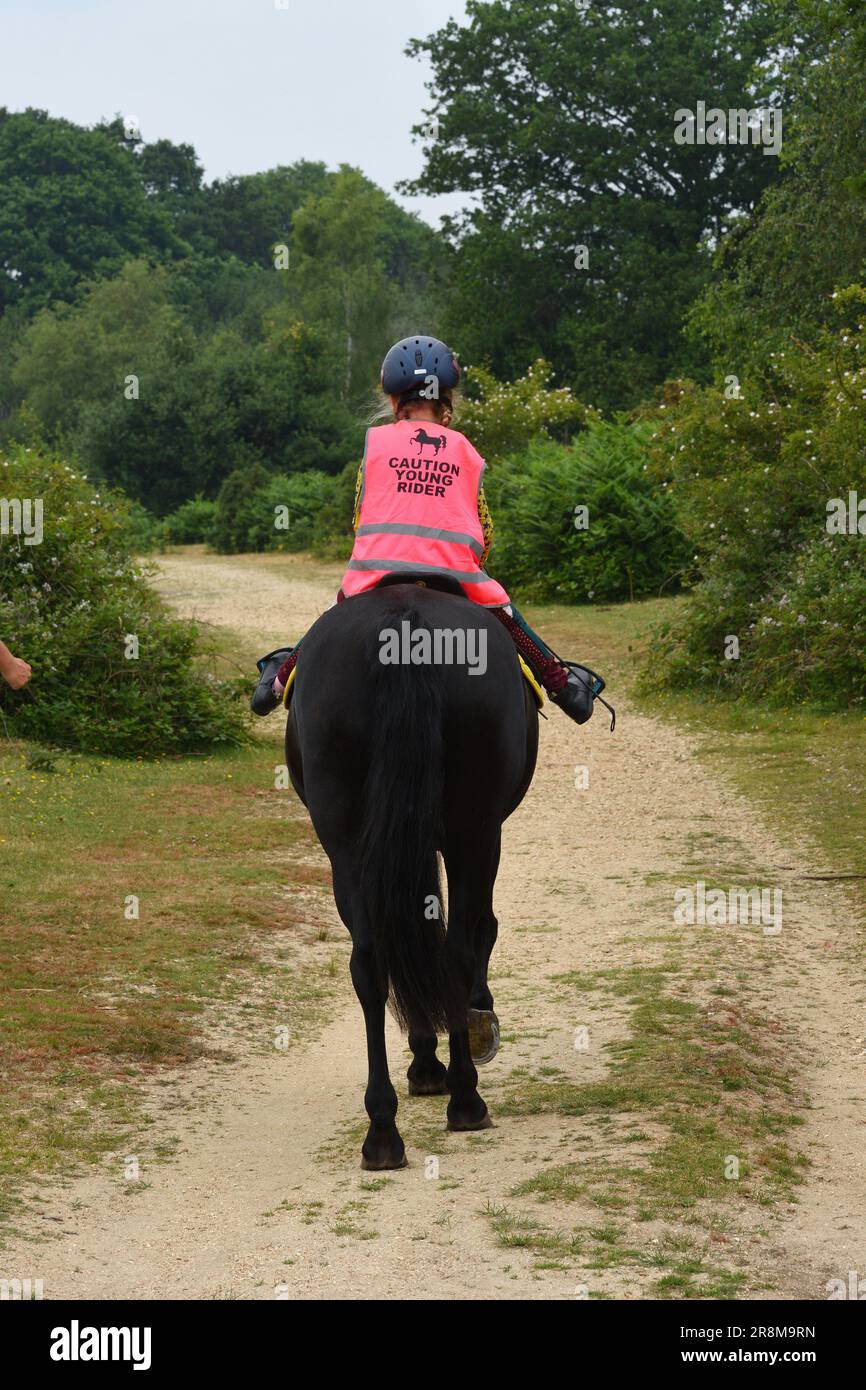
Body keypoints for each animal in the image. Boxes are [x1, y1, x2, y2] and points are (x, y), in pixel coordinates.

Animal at [285, 576, 539, 1168]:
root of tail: (404, 621)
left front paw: (425, 1061)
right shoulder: (477, 835)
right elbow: (473, 932)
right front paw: (457, 1042)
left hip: (346, 838)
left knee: (371, 962)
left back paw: (382, 1130)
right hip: (475, 829)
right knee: (458, 949)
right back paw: (466, 1099)